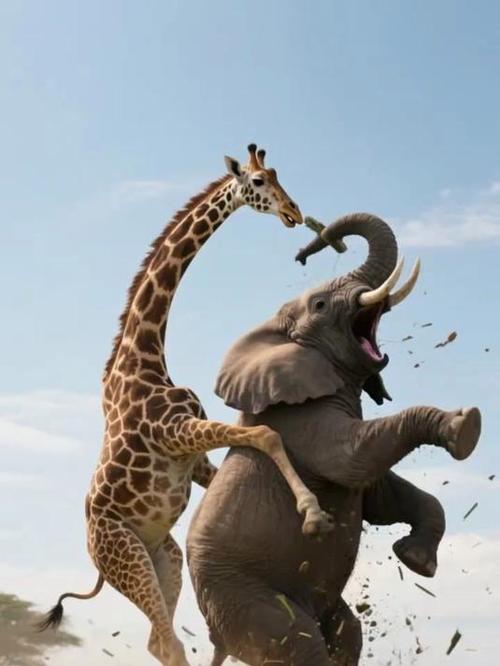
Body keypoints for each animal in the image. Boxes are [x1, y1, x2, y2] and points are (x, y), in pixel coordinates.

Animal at [187, 213, 481, 666]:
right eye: (321, 305)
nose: (309, 247)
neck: (279, 337)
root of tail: (215, 636)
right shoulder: (300, 422)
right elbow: (355, 459)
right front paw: (465, 428)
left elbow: (380, 492)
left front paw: (417, 562)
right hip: (243, 598)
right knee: (299, 641)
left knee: (348, 632)